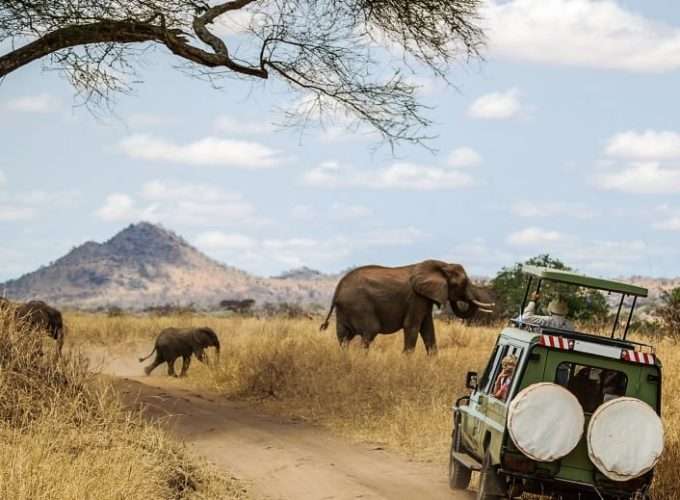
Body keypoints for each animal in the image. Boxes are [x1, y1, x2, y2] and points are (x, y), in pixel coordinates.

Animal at [318, 260, 494, 354]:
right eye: (461, 283)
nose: (492, 304)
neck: (442, 265)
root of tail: (337, 289)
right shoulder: (416, 298)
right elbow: (412, 326)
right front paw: (407, 361)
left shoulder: (424, 298)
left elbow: (428, 328)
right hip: (359, 306)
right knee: (369, 333)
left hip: (344, 310)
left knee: (343, 338)